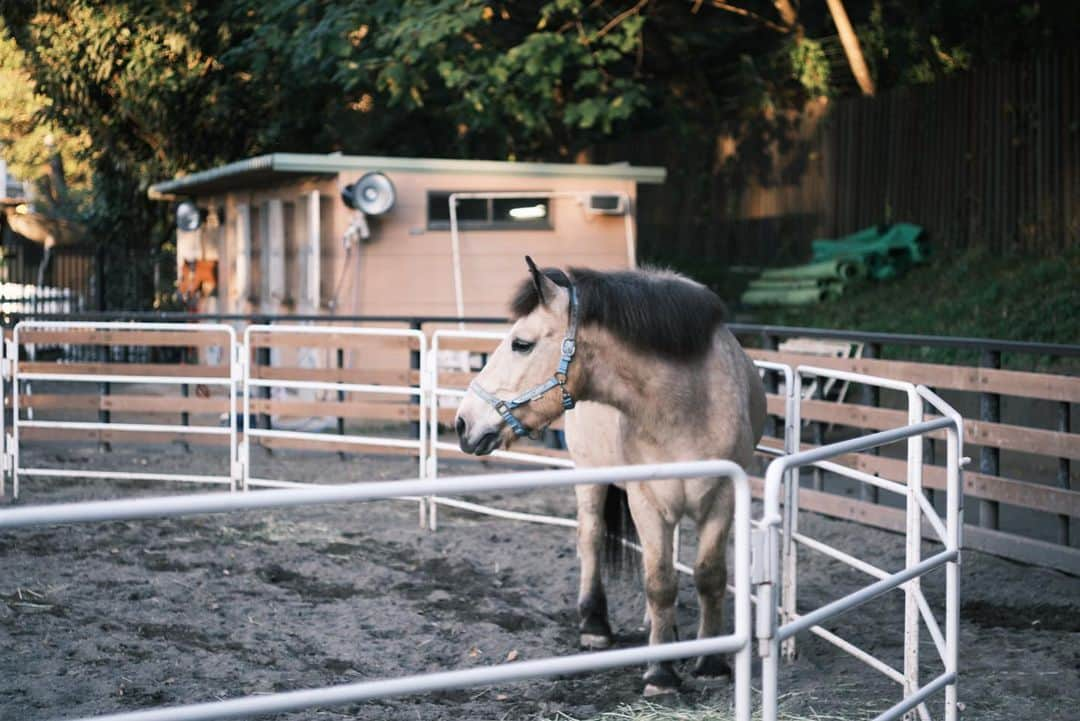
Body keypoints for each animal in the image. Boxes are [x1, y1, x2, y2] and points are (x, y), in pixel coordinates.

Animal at [455, 255, 768, 695]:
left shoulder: (722, 497)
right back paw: (595, 625)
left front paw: (711, 661)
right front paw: (661, 674)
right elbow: (659, 582)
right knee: (591, 538)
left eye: (521, 343)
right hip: (590, 475)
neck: (687, 404)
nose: (463, 423)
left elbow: (709, 576)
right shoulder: (646, 500)